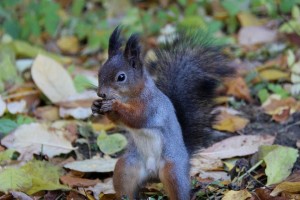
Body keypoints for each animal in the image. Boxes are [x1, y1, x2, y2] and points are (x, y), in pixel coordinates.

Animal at [91, 26, 234, 200]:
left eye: (121, 77)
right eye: (99, 72)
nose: (101, 94)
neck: (129, 97)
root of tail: (152, 174)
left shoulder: (151, 106)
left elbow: (137, 118)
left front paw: (114, 105)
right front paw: (96, 106)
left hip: (173, 171)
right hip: (126, 167)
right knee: (126, 187)